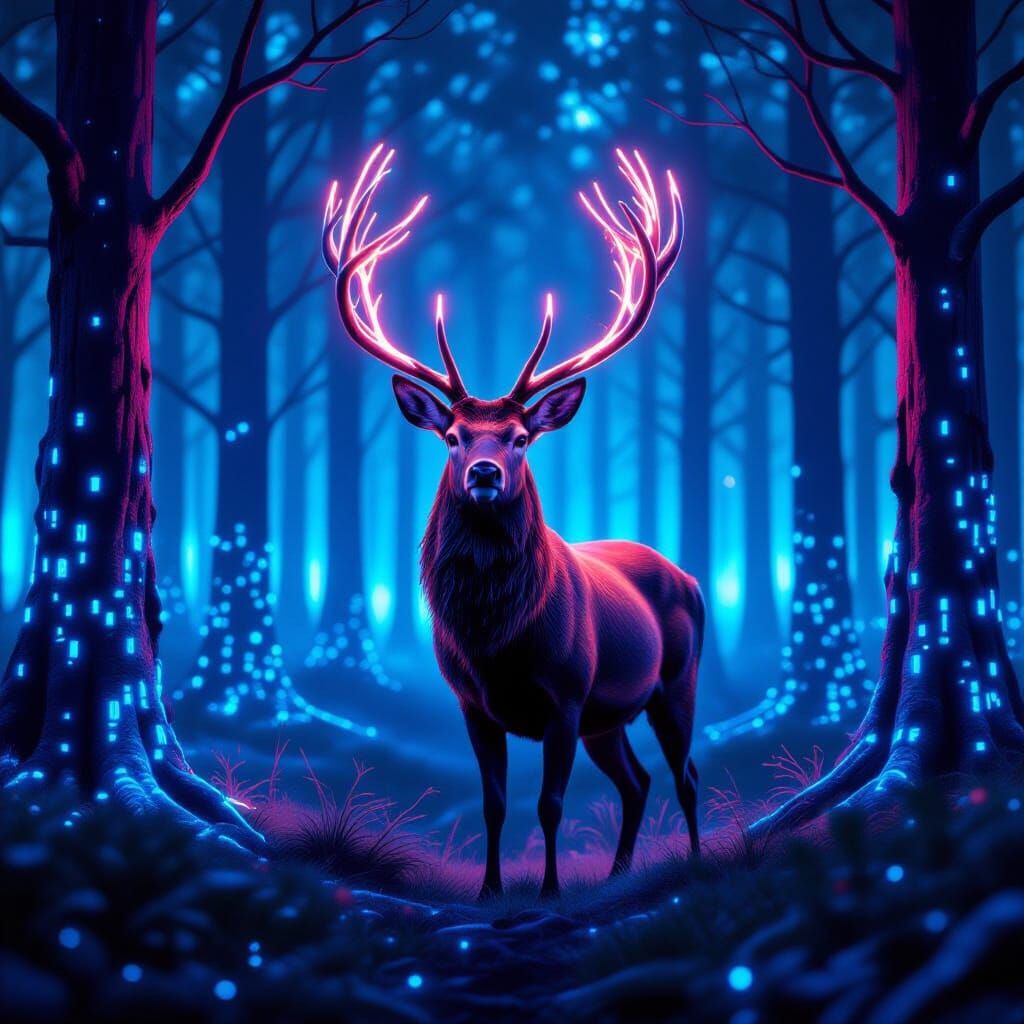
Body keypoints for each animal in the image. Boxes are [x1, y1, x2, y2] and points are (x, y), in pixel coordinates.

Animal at [321, 144, 703, 898]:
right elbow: (495, 803)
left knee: (684, 776)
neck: (497, 640)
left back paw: (699, 861)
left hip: (674, 681)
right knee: (638, 782)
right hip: (609, 718)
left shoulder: (567, 694)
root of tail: (691, 578)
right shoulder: (472, 704)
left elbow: (550, 803)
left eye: (522, 437)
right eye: (453, 436)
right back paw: (617, 874)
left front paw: (550, 891)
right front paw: (490, 891)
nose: (485, 475)